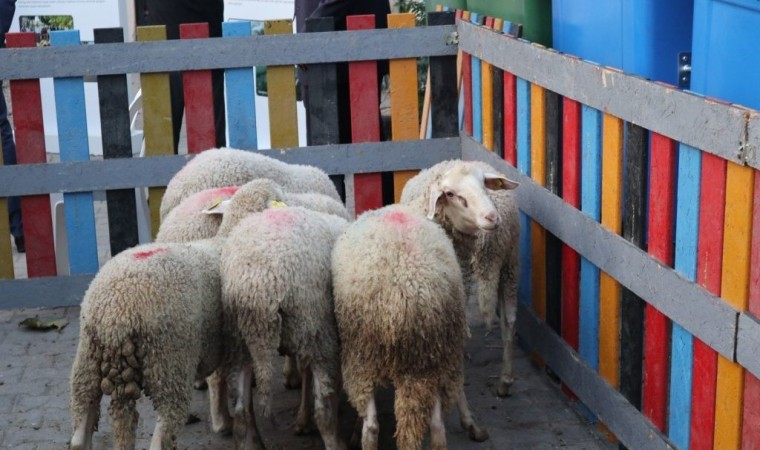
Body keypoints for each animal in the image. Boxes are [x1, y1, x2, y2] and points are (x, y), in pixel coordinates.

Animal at [69, 240, 224, 450]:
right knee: (164, 428)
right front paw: (222, 423)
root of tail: (115, 315)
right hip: (170, 363)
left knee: (83, 425)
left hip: (87, 362)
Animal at [215, 205, 349, 450]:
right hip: (315, 327)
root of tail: (257, 284)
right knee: (323, 411)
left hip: (238, 339)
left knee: (241, 410)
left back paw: (252, 443)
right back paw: (336, 441)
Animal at [399, 159, 520, 398]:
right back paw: (505, 381)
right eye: (450, 194)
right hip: (509, 266)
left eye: (484, 183)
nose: (492, 217)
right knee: (510, 319)